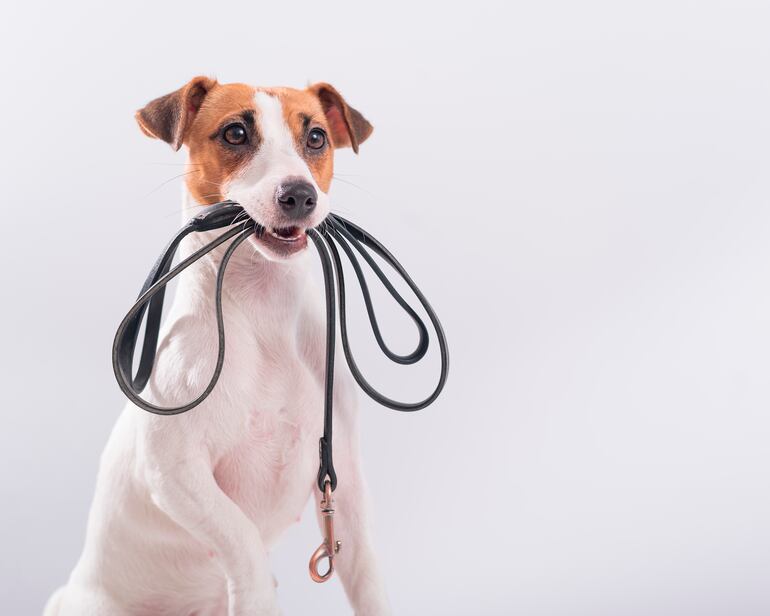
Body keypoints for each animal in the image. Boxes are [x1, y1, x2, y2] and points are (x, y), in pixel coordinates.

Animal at [43, 77, 390, 616]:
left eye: (315, 137)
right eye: (235, 133)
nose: (299, 195)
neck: (264, 318)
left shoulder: (343, 479)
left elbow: (368, 574)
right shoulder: (174, 474)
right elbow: (242, 539)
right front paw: (255, 590)